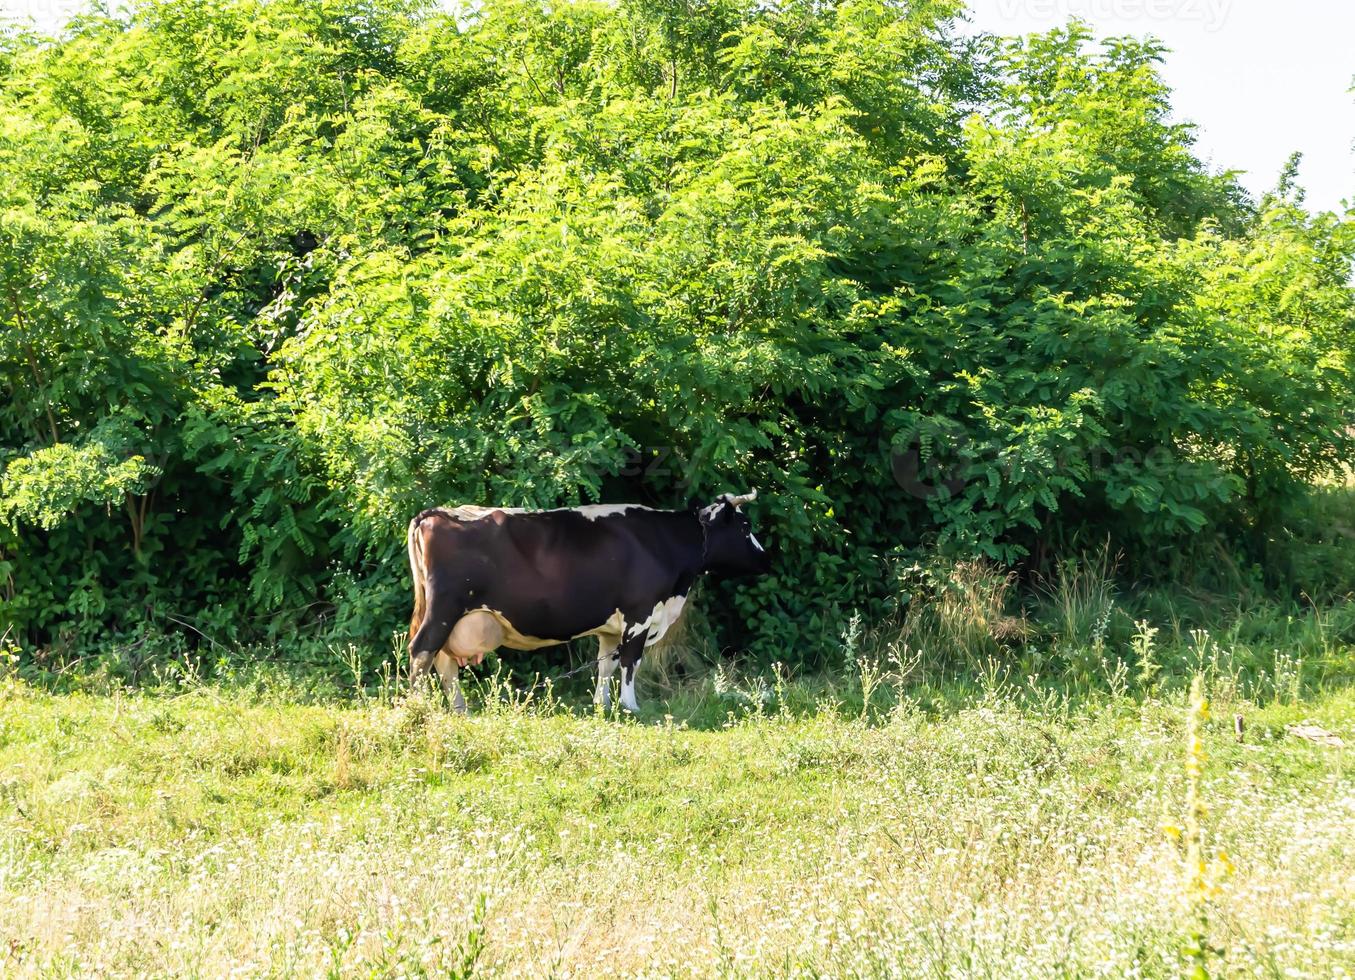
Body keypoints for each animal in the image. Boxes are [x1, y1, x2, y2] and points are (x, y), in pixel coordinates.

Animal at [403, 490, 775, 715]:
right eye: (745, 526)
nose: (766, 559)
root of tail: (434, 513)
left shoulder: (611, 627)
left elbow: (605, 665)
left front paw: (602, 704)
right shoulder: (639, 614)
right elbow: (630, 663)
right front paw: (631, 706)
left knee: (442, 660)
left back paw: (459, 708)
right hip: (445, 609)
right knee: (422, 652)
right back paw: (418, 706)